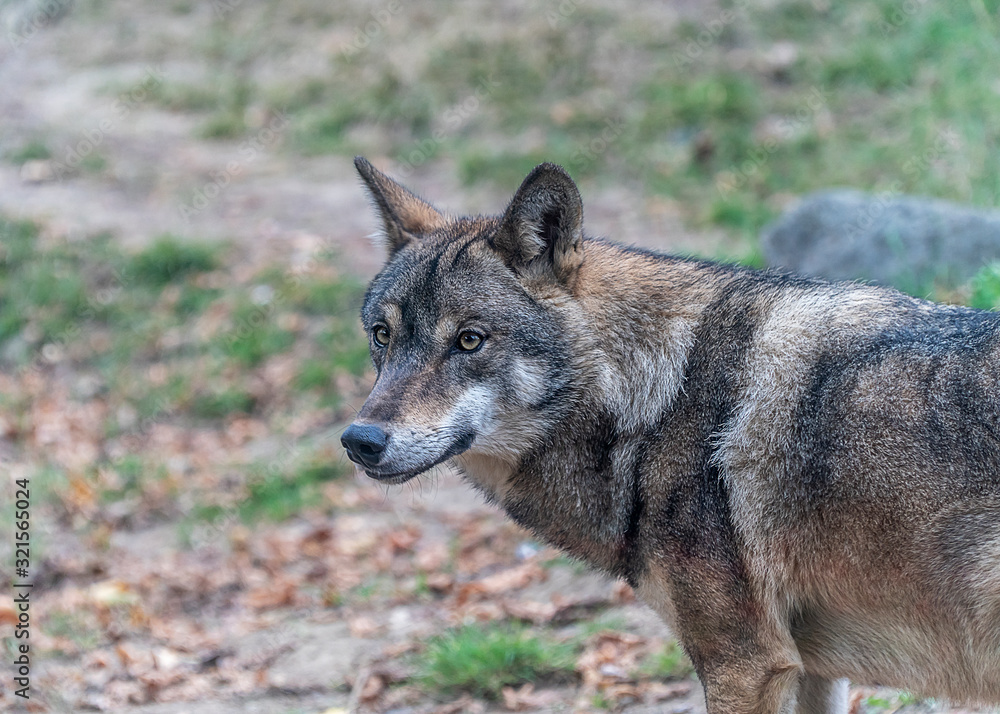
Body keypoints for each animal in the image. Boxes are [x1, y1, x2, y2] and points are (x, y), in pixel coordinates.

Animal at [342, 157, 1000, 712]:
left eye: (470, 339)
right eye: (382, 335)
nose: (359, 440)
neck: (657, 401)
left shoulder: (744, 664)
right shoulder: (811, 668)